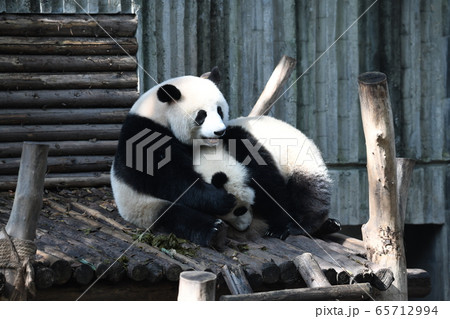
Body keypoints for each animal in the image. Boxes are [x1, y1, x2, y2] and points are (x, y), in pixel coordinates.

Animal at [110, 69, 237, 250]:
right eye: (202, 115)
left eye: (220, 110)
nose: (219, 132)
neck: (158, 113)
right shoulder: (145, 136)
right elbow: (170, 179)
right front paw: (224, 199)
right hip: (143, 206)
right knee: (175, 216)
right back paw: (215, 231)